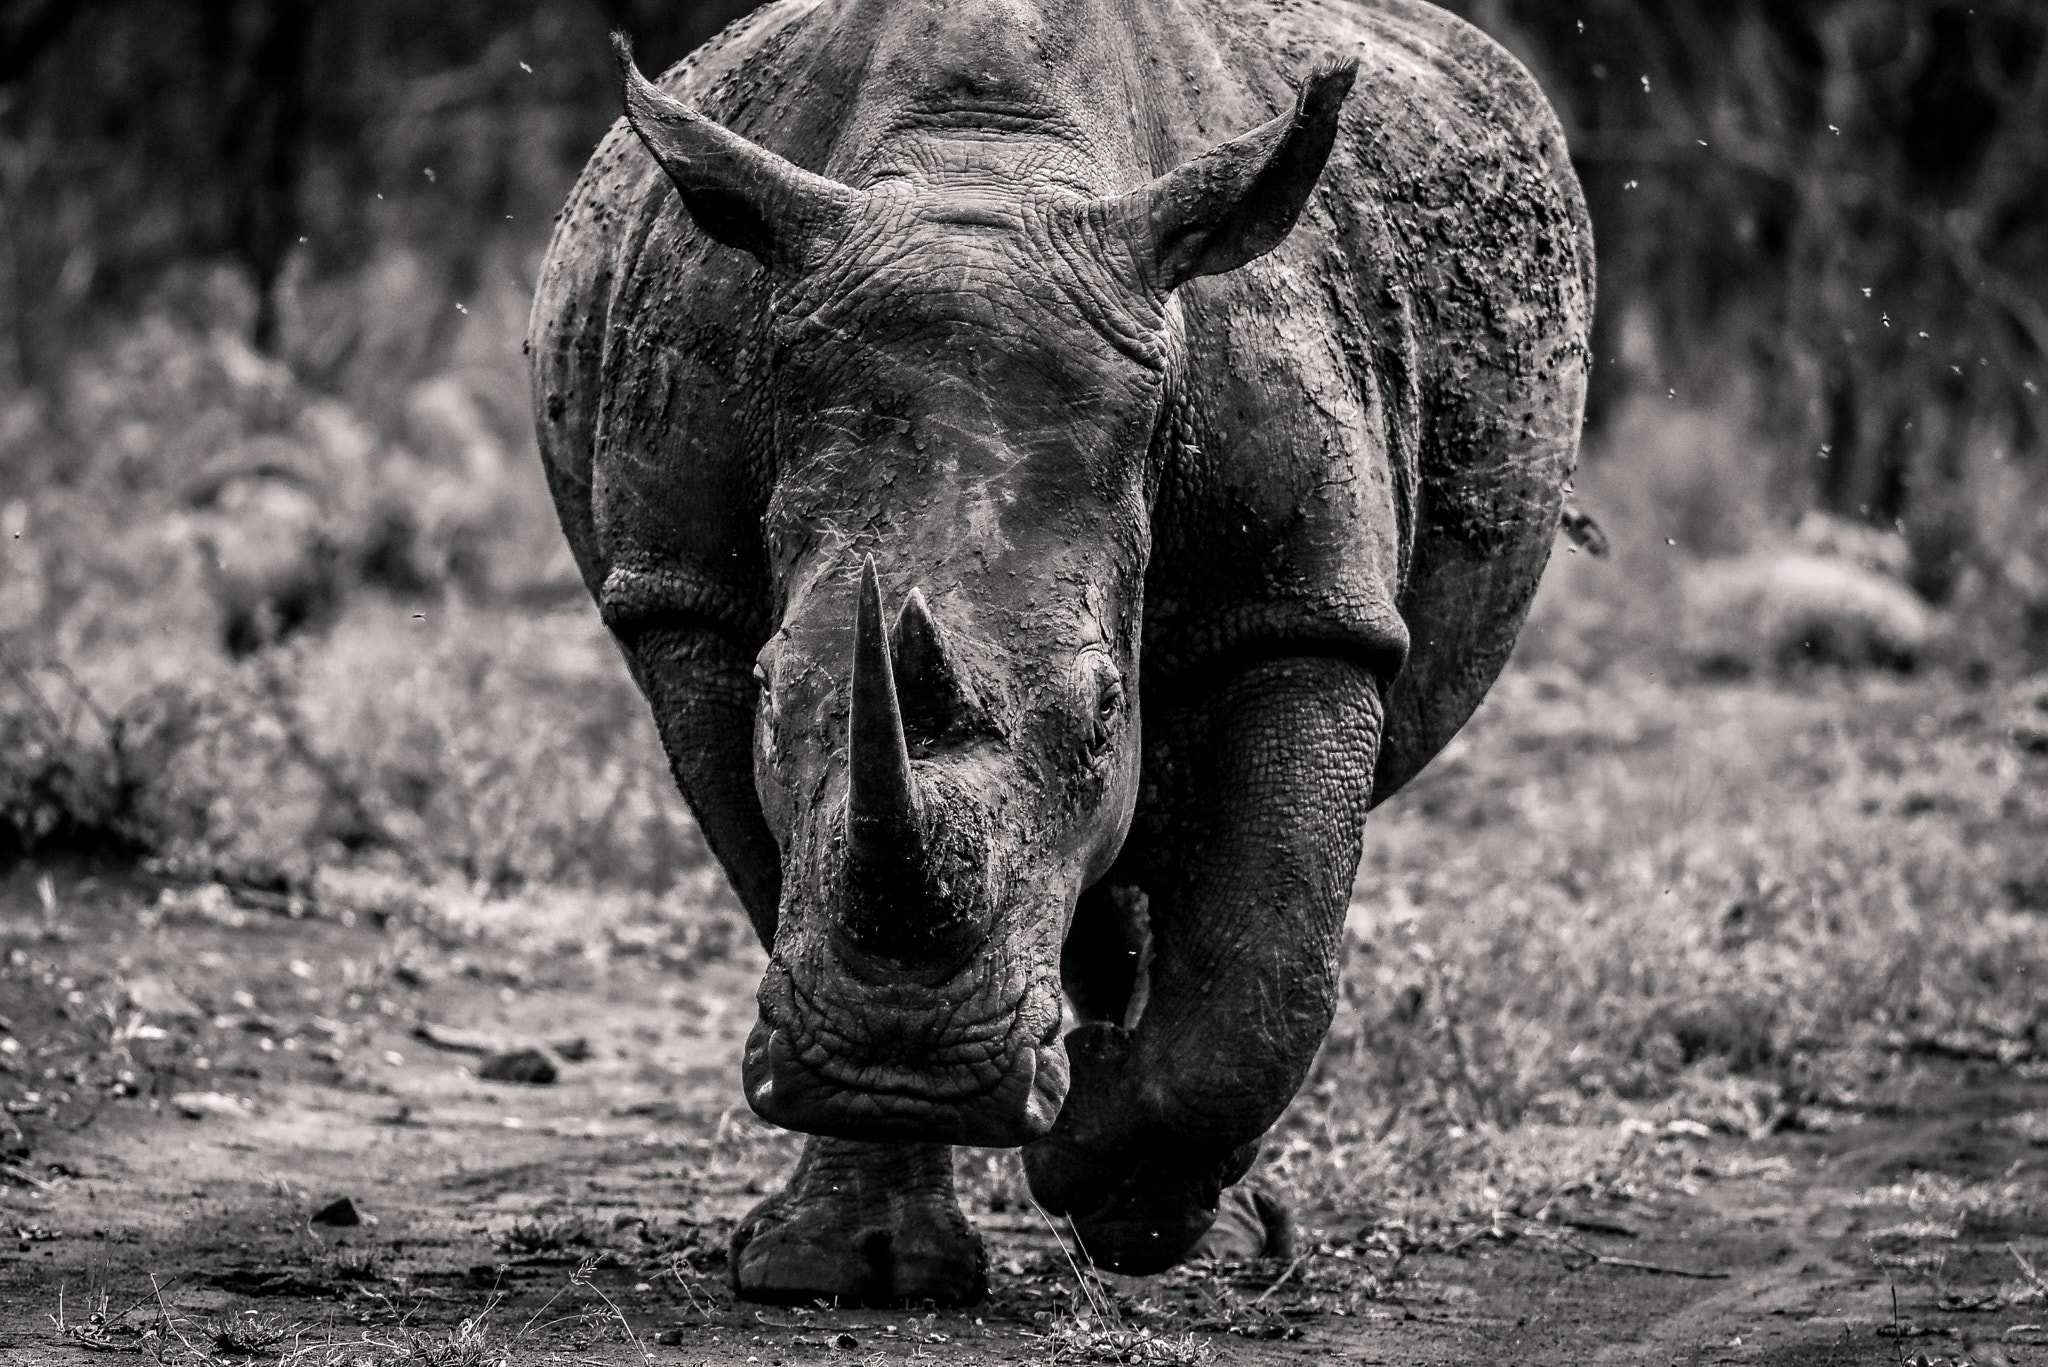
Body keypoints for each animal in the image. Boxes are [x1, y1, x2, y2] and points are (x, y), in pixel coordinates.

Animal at [529, 0, 1590, 1306]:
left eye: (1102, 708)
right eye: (771, 688)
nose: (907, 1068)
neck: (978, 172)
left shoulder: (1300, 601)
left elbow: (1274, 956)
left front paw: (1110, 1179)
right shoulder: (686, 598)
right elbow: (779, 865)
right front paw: (848, 1262)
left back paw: (1184, 1205)